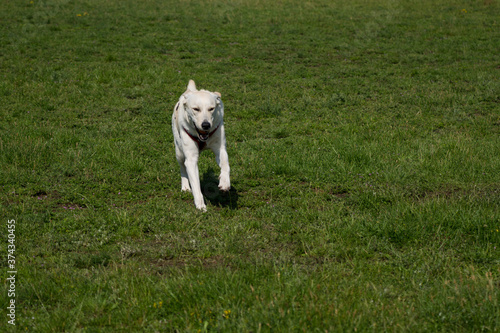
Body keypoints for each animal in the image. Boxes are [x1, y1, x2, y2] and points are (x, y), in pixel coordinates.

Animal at [172, 80, 230, 210]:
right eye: (196, 109)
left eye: (211, 109)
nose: (206, 125)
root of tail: (191, 90)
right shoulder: (191, 159)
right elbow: (195, 184)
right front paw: (200, 205)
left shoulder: (220, 149)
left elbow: (225, 165)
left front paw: (224, 182)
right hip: (179, 151)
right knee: (182, 168)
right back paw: (185, 186)